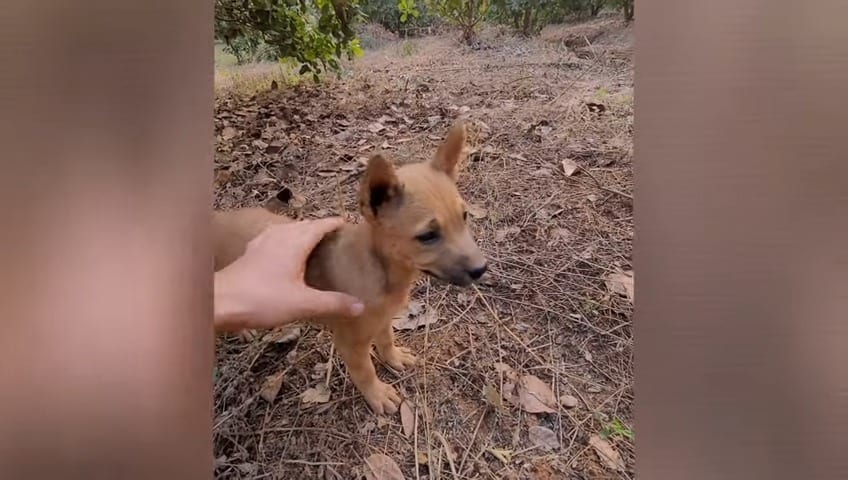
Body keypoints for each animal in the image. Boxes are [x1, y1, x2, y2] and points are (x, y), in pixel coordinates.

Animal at [214, 122, 484, 414]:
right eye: (427, 236)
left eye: (464, 216)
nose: (482, 269)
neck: (383, 270)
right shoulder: (350, 344)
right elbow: (365, 371)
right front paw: (378, 394)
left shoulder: (383, 320)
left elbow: (387, 340)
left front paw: (394, 357)